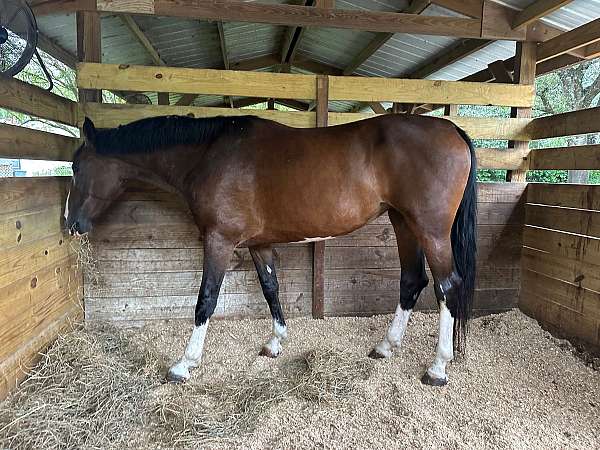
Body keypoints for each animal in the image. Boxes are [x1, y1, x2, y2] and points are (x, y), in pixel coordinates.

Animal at [65, 113, 476, 386]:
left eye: (75, 166)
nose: (71, 223)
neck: (209, 154)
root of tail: (451, 129)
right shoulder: (259, 245)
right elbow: (270, 288)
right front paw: (275, 342)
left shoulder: (218, 240)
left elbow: (205, 300)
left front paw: (184, 364)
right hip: (402, 221)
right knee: (412, 280)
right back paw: (386, 346)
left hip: (430, 230)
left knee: (448, 286)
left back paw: (438, 366)